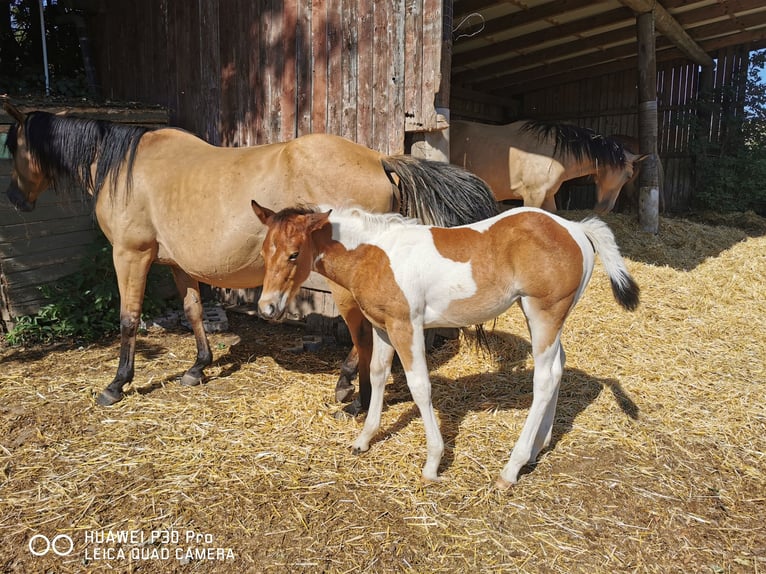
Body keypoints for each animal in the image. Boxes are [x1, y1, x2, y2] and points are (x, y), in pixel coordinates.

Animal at [0, 102, 500, 410]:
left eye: (11, 146)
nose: (15, 200)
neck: (125, 168)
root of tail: (379, 158)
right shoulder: (180, 266)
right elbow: (194, 310)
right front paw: (198, 367)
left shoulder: (131, 255)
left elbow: (128, 318)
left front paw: (116, 384)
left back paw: (347, 388)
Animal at [254, 200, 640, 488]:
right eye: (263, 253)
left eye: (294, 253)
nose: (267, 307)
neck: (374, 253)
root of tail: (575, 228)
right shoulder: (382, 327)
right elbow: (377, 374)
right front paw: (364, 440)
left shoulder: (406, 326)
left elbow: (420, 386)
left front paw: (432, 463)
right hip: (545, 318)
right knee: (558, 368)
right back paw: (536, 449)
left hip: (544, 312)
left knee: (544, 380)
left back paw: (510, 470)